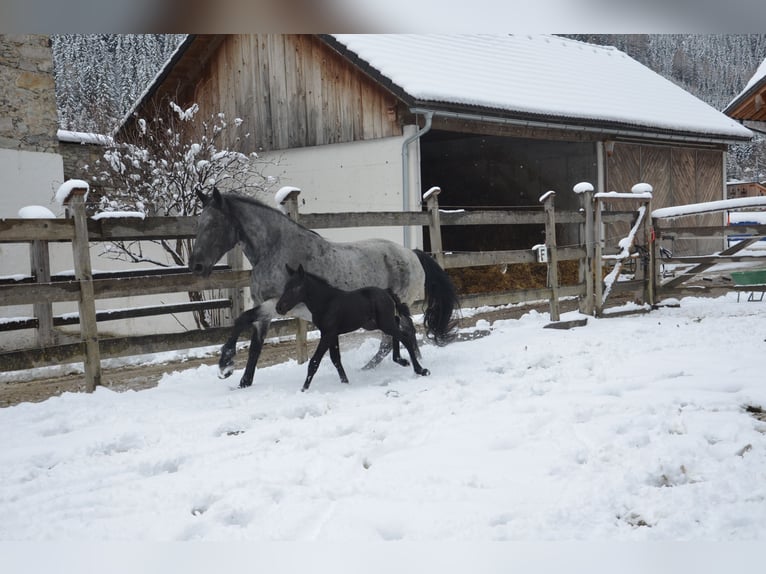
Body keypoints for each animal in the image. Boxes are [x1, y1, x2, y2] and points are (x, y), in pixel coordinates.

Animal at [276, 264, 429, 391]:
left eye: (296, 287)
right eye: (285, 287)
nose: (279, 308)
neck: (326, 302)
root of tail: (387, 292)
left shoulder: (327, 334)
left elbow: (314, 361)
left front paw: (304, 389)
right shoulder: (332, 334)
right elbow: (335, 359)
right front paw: (345, 383)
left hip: (385, 323)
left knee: (405, 338)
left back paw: (420, 370)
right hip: (379, 323)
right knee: (397, 330)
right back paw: (401, 361)